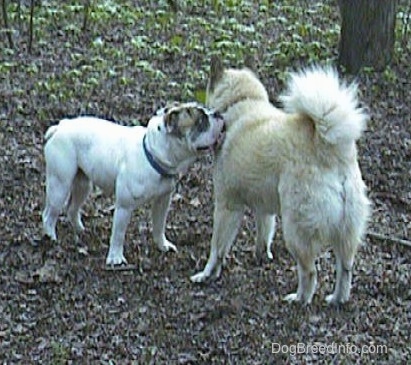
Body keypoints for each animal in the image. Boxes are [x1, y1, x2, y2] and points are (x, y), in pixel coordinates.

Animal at [192, 57, 372, 304]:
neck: (242, 101)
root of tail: (330, 149)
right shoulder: (264, 208)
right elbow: (264, 234)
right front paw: (261, 256)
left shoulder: (227, 206)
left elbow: (216, 249)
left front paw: (207, 274)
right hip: (346, 232)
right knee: (345, 269)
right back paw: (337, 299)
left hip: (296, 229)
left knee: (310, 272)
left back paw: (299, 299)